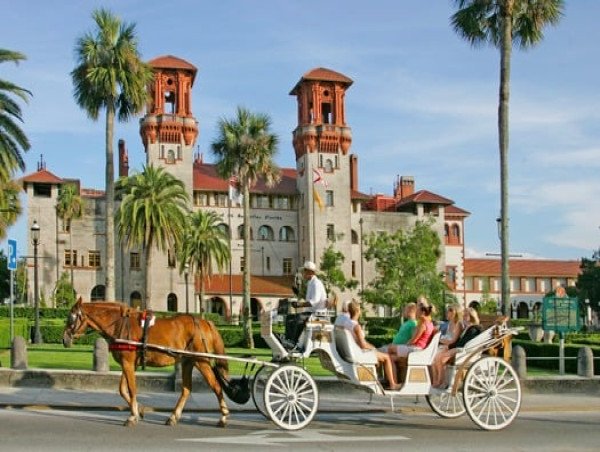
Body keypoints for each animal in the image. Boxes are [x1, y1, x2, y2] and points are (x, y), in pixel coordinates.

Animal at [62, 298, 232, 426]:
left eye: (71, 317)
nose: (64, 339)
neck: (119, 323)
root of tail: (204, 322)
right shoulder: (129, 364)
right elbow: (122, 389)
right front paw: (139, 409)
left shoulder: (128, 363)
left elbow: (131, 389)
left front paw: (132, 415)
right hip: (188, 361)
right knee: (186, 389)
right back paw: (173, 417)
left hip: (200, 361)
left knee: (216, 386)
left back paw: (223, 416)